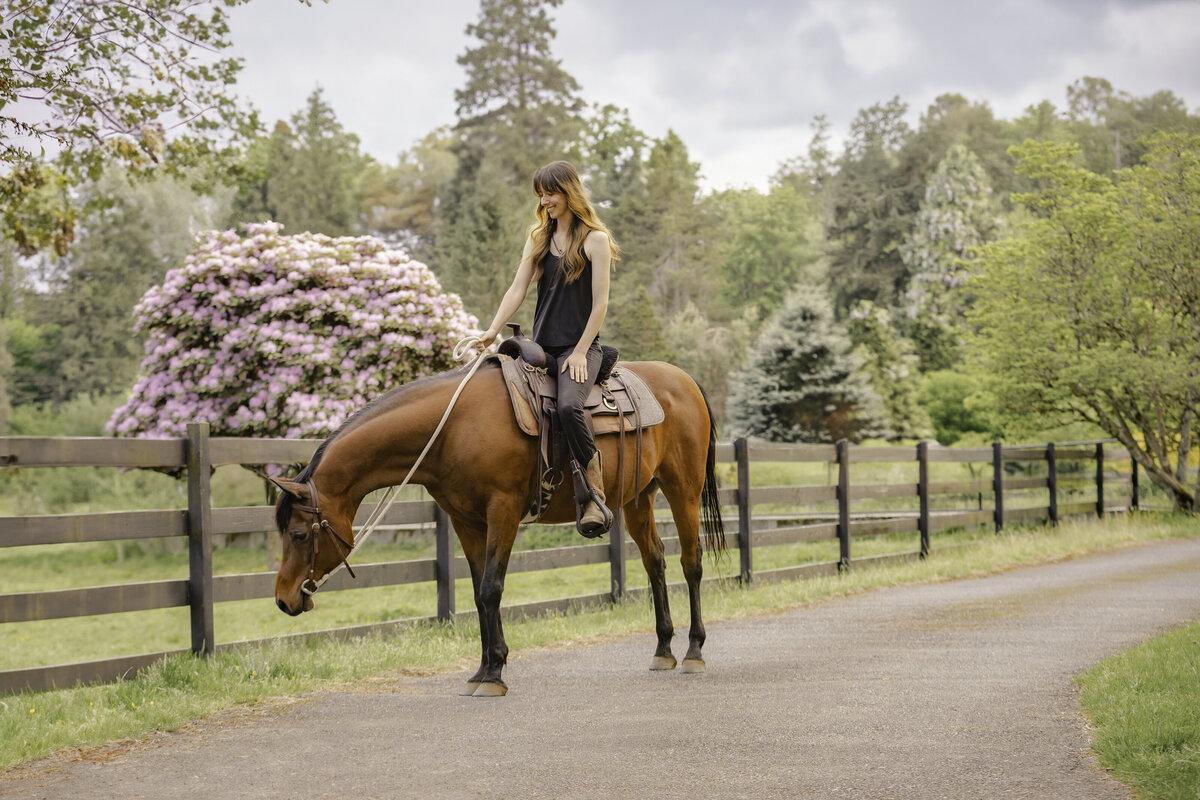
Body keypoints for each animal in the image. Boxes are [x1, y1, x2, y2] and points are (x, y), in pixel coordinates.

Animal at [271, 359, 720, 695]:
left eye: (298, 534)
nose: (282, 600)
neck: (452, 428)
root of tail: (684, 379)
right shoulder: (466, 521)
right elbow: (477, 593)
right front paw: (482, 669)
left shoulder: (502, 511)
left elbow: (491, 588)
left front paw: (494, 674)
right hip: (637, 498)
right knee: (655, 562)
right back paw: (663, 648)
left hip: (683, 488)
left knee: (691, 563)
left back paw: (694, 651)